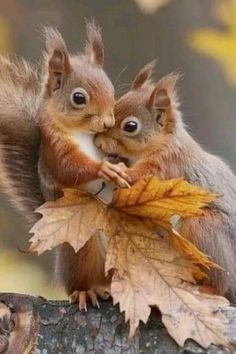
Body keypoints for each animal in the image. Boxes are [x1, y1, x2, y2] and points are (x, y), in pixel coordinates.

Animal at [94, 61, 236, 302]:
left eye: (130, 126)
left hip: (205, 231)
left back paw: (205, 290)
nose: (98, 141)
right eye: (115, 105)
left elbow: (137, 178)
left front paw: (113, 170)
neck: (165, 141)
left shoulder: (166, 165)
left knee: (221, 285)